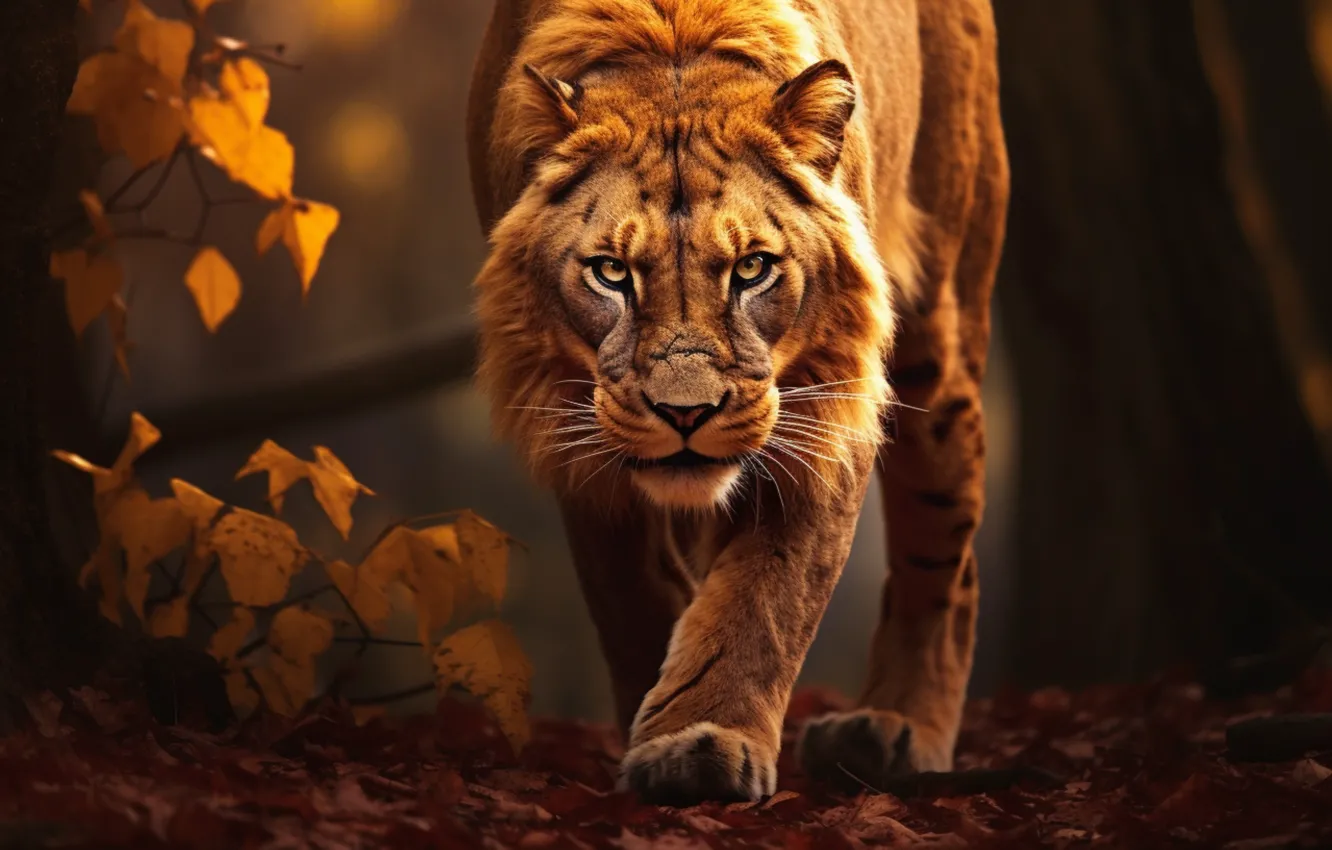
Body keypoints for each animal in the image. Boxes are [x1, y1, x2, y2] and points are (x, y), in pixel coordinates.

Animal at [466, 0, 1008, 804]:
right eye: (611, 273)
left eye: (752, 268)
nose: (686, 415)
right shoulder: (575, 423)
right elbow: (630, 590)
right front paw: (653, 714)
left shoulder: (824, 405)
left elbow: (768, 593)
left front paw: (700, 742)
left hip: (940, 318)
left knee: (948, 549)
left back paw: (894, 729)